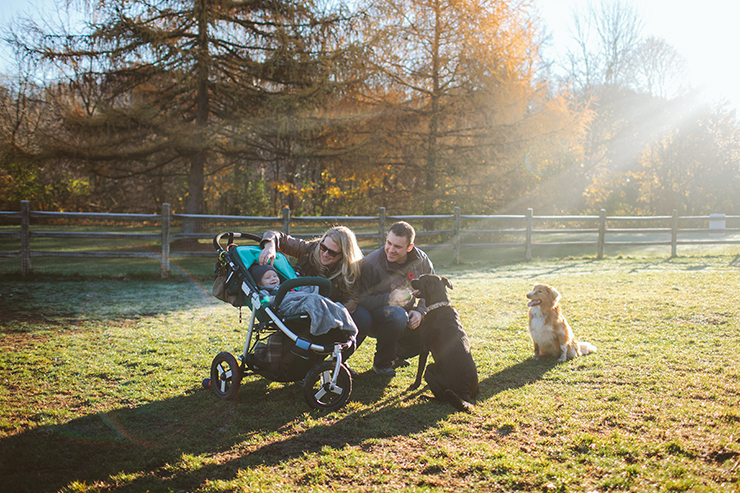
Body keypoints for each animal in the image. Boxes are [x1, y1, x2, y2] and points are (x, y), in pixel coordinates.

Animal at [408, 272, 476, 412]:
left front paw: (415, 385)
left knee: (442, 398)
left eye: (421, 278)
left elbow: (419, 370)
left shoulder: (424, 348)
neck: (438, 305)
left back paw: (427, 396)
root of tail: (465, 392)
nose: (411, 280)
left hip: (430, 369)